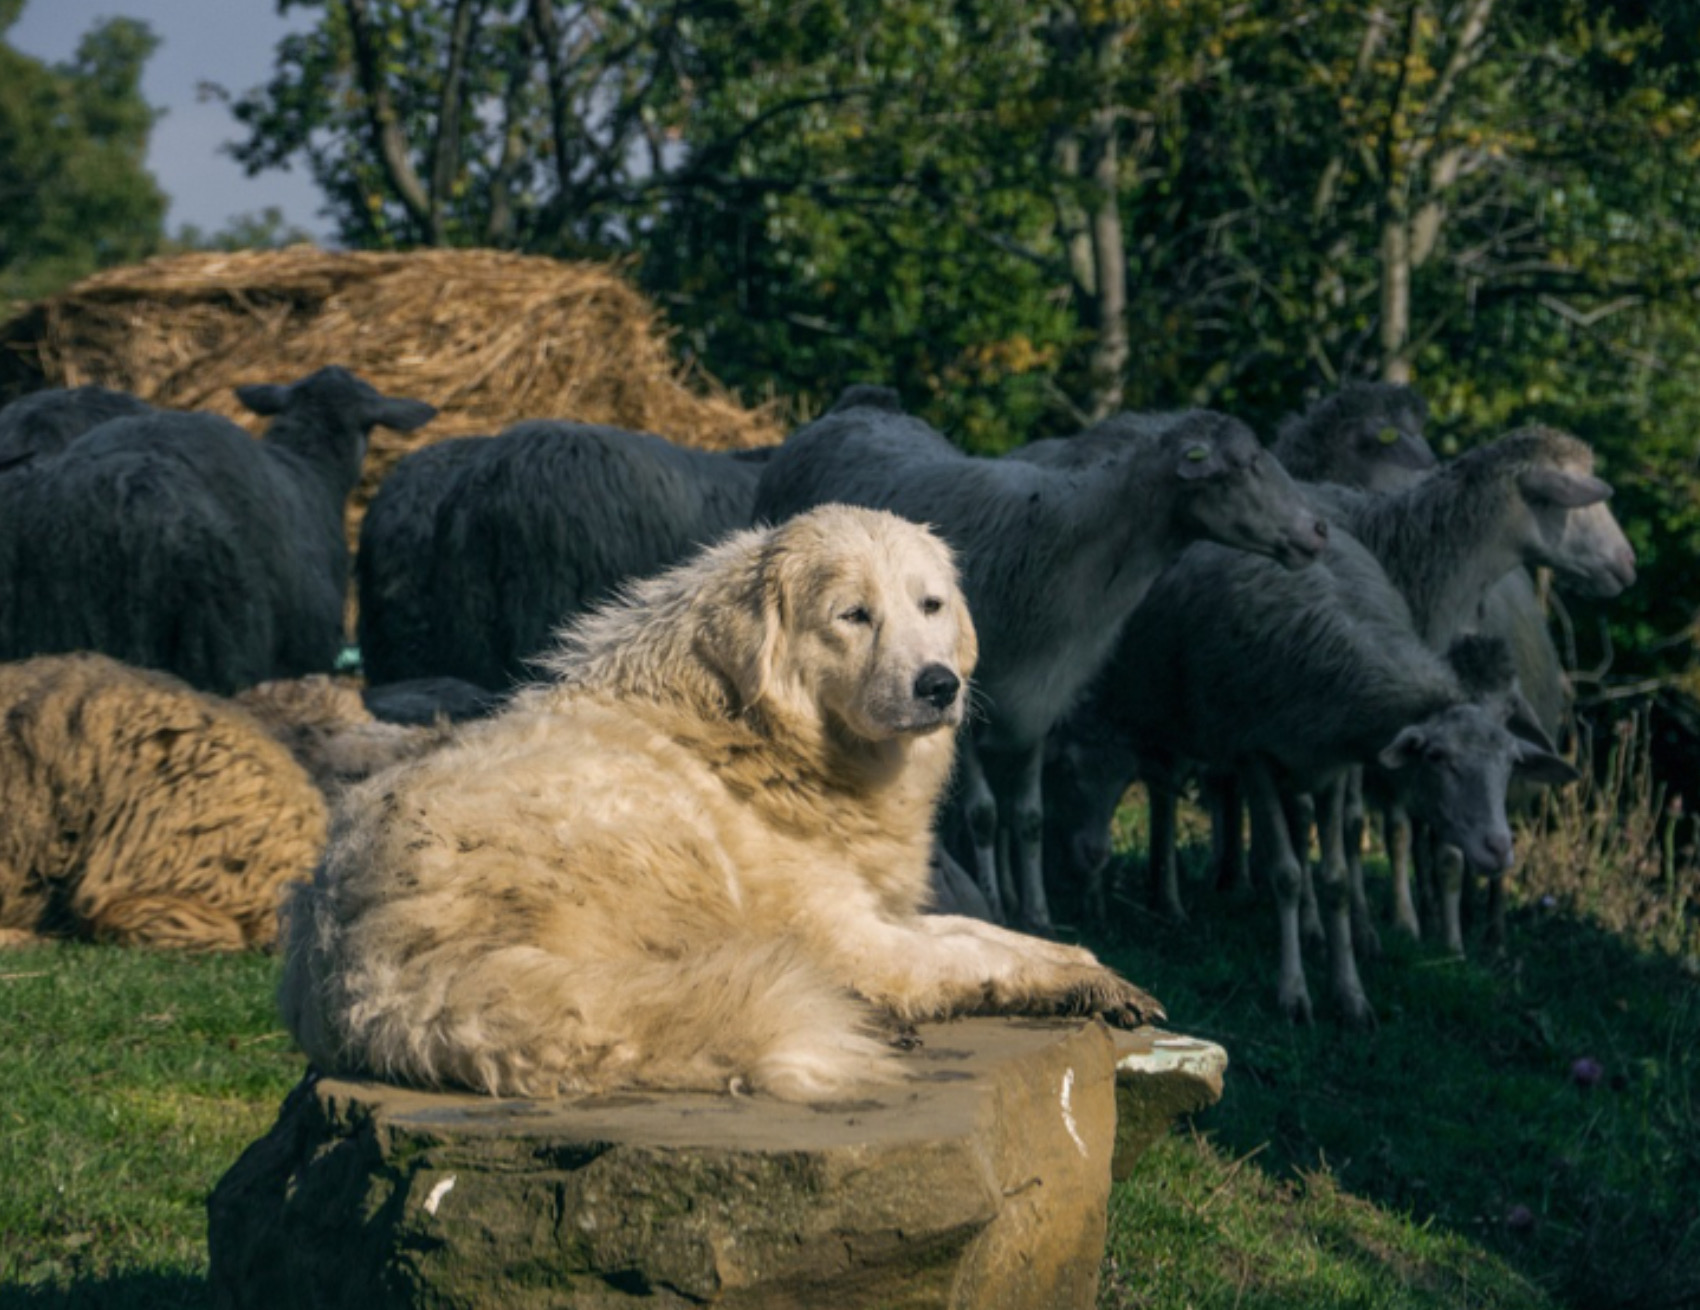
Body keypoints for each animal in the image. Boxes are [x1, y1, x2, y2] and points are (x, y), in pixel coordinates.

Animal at [282, 506, 1156, 1101]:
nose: (939, 685)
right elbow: (972, 956)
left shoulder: (882, 911)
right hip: (639, 837)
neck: (752, 733)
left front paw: (1088, 968)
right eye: (854, 615)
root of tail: (355, 967)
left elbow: (984, 932)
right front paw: (1088, 982)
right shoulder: (850, 936)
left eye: (931, 605)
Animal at [758, 389, 1326, 931]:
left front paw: (1035, 910)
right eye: (1240, 467)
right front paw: (992, 900)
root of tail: (858, 408)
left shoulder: (1037, 696)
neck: (1063, 545)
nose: (1318, 533)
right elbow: (985, 814)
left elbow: (1028, 817)